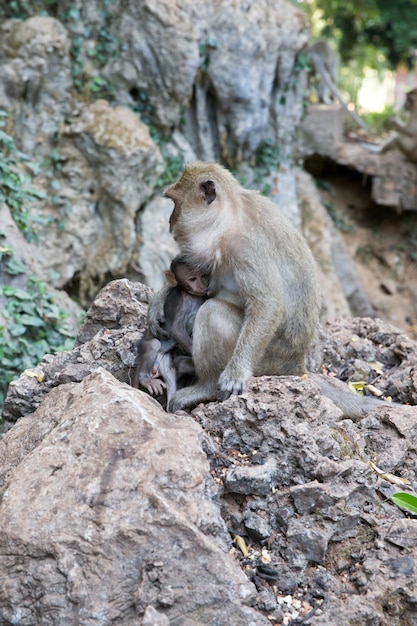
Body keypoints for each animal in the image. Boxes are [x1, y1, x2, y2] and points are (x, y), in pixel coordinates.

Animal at [132, 255, 210, 410]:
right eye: (193, 278)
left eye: (204, 275)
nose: (202, 285)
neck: (194, 296)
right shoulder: (184, 302)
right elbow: (176, 330)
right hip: (146, 348)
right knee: (154, 344)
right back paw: (145, 379)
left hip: (164, 364)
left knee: (171, 376)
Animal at [148, 163, 320, 412]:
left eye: (174, 203)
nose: (170, 222)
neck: (233, 218)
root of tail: (294, 364)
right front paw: (160, 299)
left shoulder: (247, 248)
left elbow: (267, 304)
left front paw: (235, 374)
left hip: (265, 360)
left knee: (212, 312)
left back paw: (205, 387)